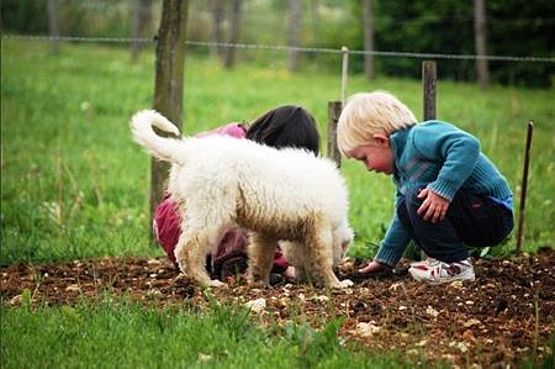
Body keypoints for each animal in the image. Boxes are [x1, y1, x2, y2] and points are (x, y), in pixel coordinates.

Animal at [131, 109, 352, 288]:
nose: (301, 280)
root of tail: (188, 151)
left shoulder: (268, 231)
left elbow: (262, 257)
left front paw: (259, 282)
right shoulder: (319, 224)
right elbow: (322, 258)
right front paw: (336, 284)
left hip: (190, 207)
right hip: (212, 208)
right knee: (188, 249)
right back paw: (207, 282)